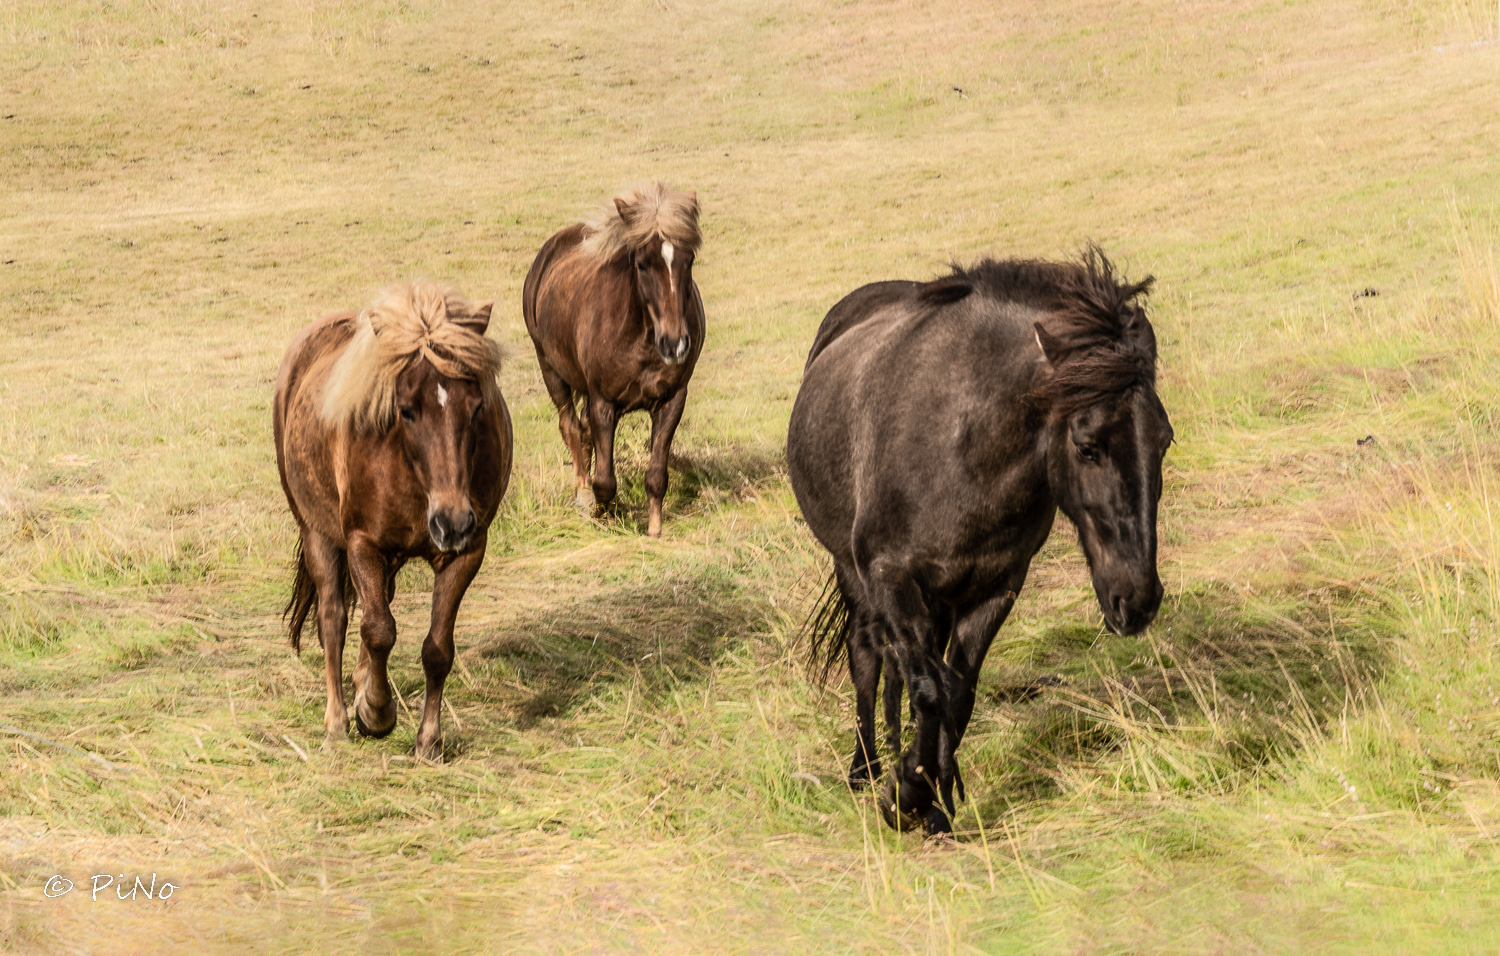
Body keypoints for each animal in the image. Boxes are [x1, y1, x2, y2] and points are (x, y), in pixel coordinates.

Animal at [273, 282, 513, 763]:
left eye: (477, 406)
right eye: (405, 409)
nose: (452, 522)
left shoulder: (466, 553)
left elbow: (437, 648)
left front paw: (428, 740)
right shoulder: (363, 543)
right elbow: (378, 630)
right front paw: (376, 713)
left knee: (376, 603)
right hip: (318, 533)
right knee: (335, 619)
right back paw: (338, 722)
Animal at [522, 181, 705, 538]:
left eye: (688, 260)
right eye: (642, 264)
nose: (675, 345)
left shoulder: (672, 400)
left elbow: (656, 475)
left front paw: (654, 531)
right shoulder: (603, 402)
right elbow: (605, 481)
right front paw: (603, 517)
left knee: (582, 429)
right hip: (551, 371)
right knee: (570, 427)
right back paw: (581, 494)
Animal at [787, 249, 1172, 835]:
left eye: (1165, 440)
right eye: (1087, 446)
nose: (1138, 600)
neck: (961, 446)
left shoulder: (995, 588)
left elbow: (958, 693)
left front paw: (936, 802)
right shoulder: (892, 578)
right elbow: (927, 689)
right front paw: (907, 796)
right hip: (855, 575)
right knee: (869, 654)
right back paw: (864, 768)